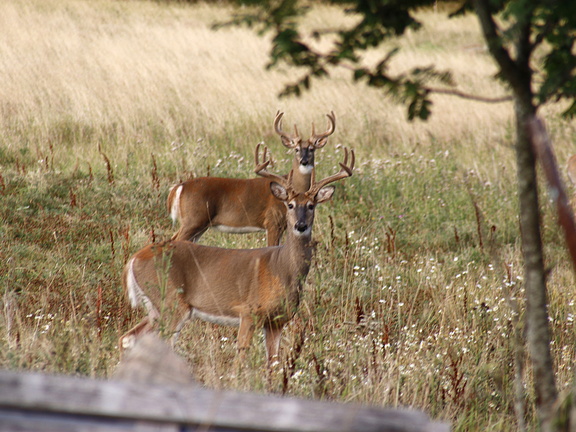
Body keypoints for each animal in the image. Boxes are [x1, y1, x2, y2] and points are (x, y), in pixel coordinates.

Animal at [119, 147, 354, 366]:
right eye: (290, 205)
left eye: (312, 205)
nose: (300, 225)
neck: (282, 269)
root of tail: (134, 259)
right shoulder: (248, 312)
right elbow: (241, 358)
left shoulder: (277, 321)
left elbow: (273, 363)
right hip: (172, 303)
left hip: (155, 308)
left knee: (128, 337)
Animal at [166, 111, 338, 246]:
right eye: (296, 149)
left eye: (312, 149)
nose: (304, 161)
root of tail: (179, 187)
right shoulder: (272, 222)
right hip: (193, 220)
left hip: (199, 225)